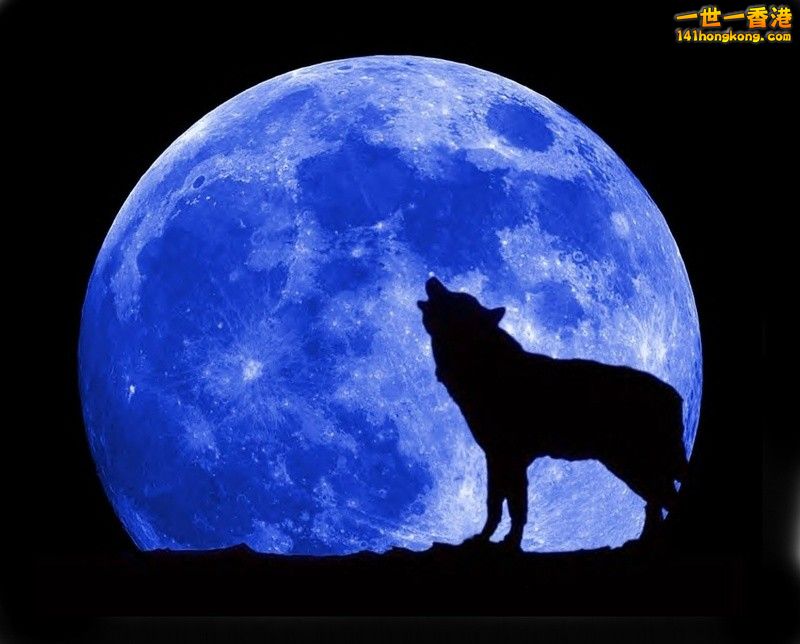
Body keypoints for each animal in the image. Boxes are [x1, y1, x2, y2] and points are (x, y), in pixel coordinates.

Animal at [417, 277, 688, 550]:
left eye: (457, 297)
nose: (432, 278)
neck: (484, 364)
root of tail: (675, 396)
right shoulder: (503, 459)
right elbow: (506, 506)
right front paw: (496, 539)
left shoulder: (507, 457)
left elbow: (508, 507)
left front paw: (502, 542)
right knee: (656, 502)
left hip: (631, 466)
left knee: (664, 499)